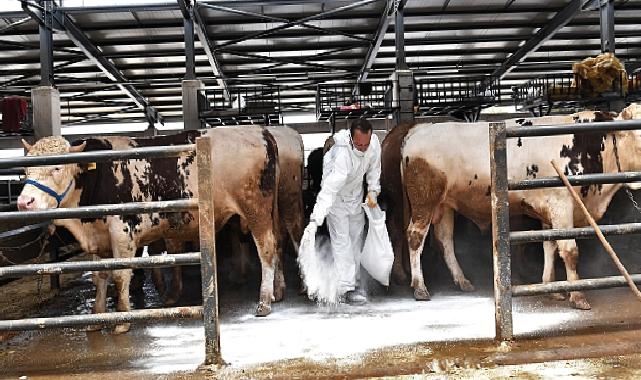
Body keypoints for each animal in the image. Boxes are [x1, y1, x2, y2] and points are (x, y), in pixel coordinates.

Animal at [17, 127, 282, 332]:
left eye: (57, 168)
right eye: (26, 170)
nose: (24, 202)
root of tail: (259, 131)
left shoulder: (122, 232)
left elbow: (120, 275)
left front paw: (122, 320)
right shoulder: (98, 237)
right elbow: (99, 276)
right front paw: (96, 318)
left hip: (255, 209)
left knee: (267, 248)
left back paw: (264, 302)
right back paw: (277, 292)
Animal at [398, 105, 636, 310]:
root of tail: (419, 130)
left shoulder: (549, 211)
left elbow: (549, 246)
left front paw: (552, 288)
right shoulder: (561, 205)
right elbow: (569, 251)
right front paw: (578, 296)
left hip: (445, 204)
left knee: (445, 239)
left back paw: (462, 280)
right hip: (424, 201)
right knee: (415, 237)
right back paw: (420, 287)